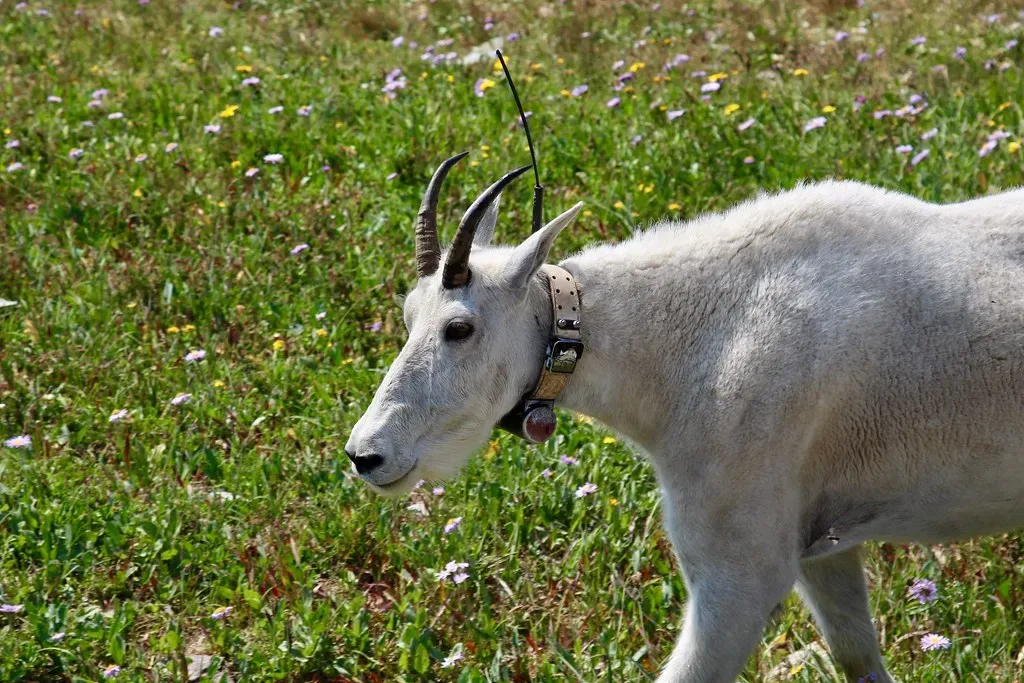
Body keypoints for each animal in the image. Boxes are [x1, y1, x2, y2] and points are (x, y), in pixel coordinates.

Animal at [345, 156, 1024, 682]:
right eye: (408, 315)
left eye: (459, 328)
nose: (366, 454)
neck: (696, 344)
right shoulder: (823, 548)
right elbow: (858, 654)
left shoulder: (739, 571)